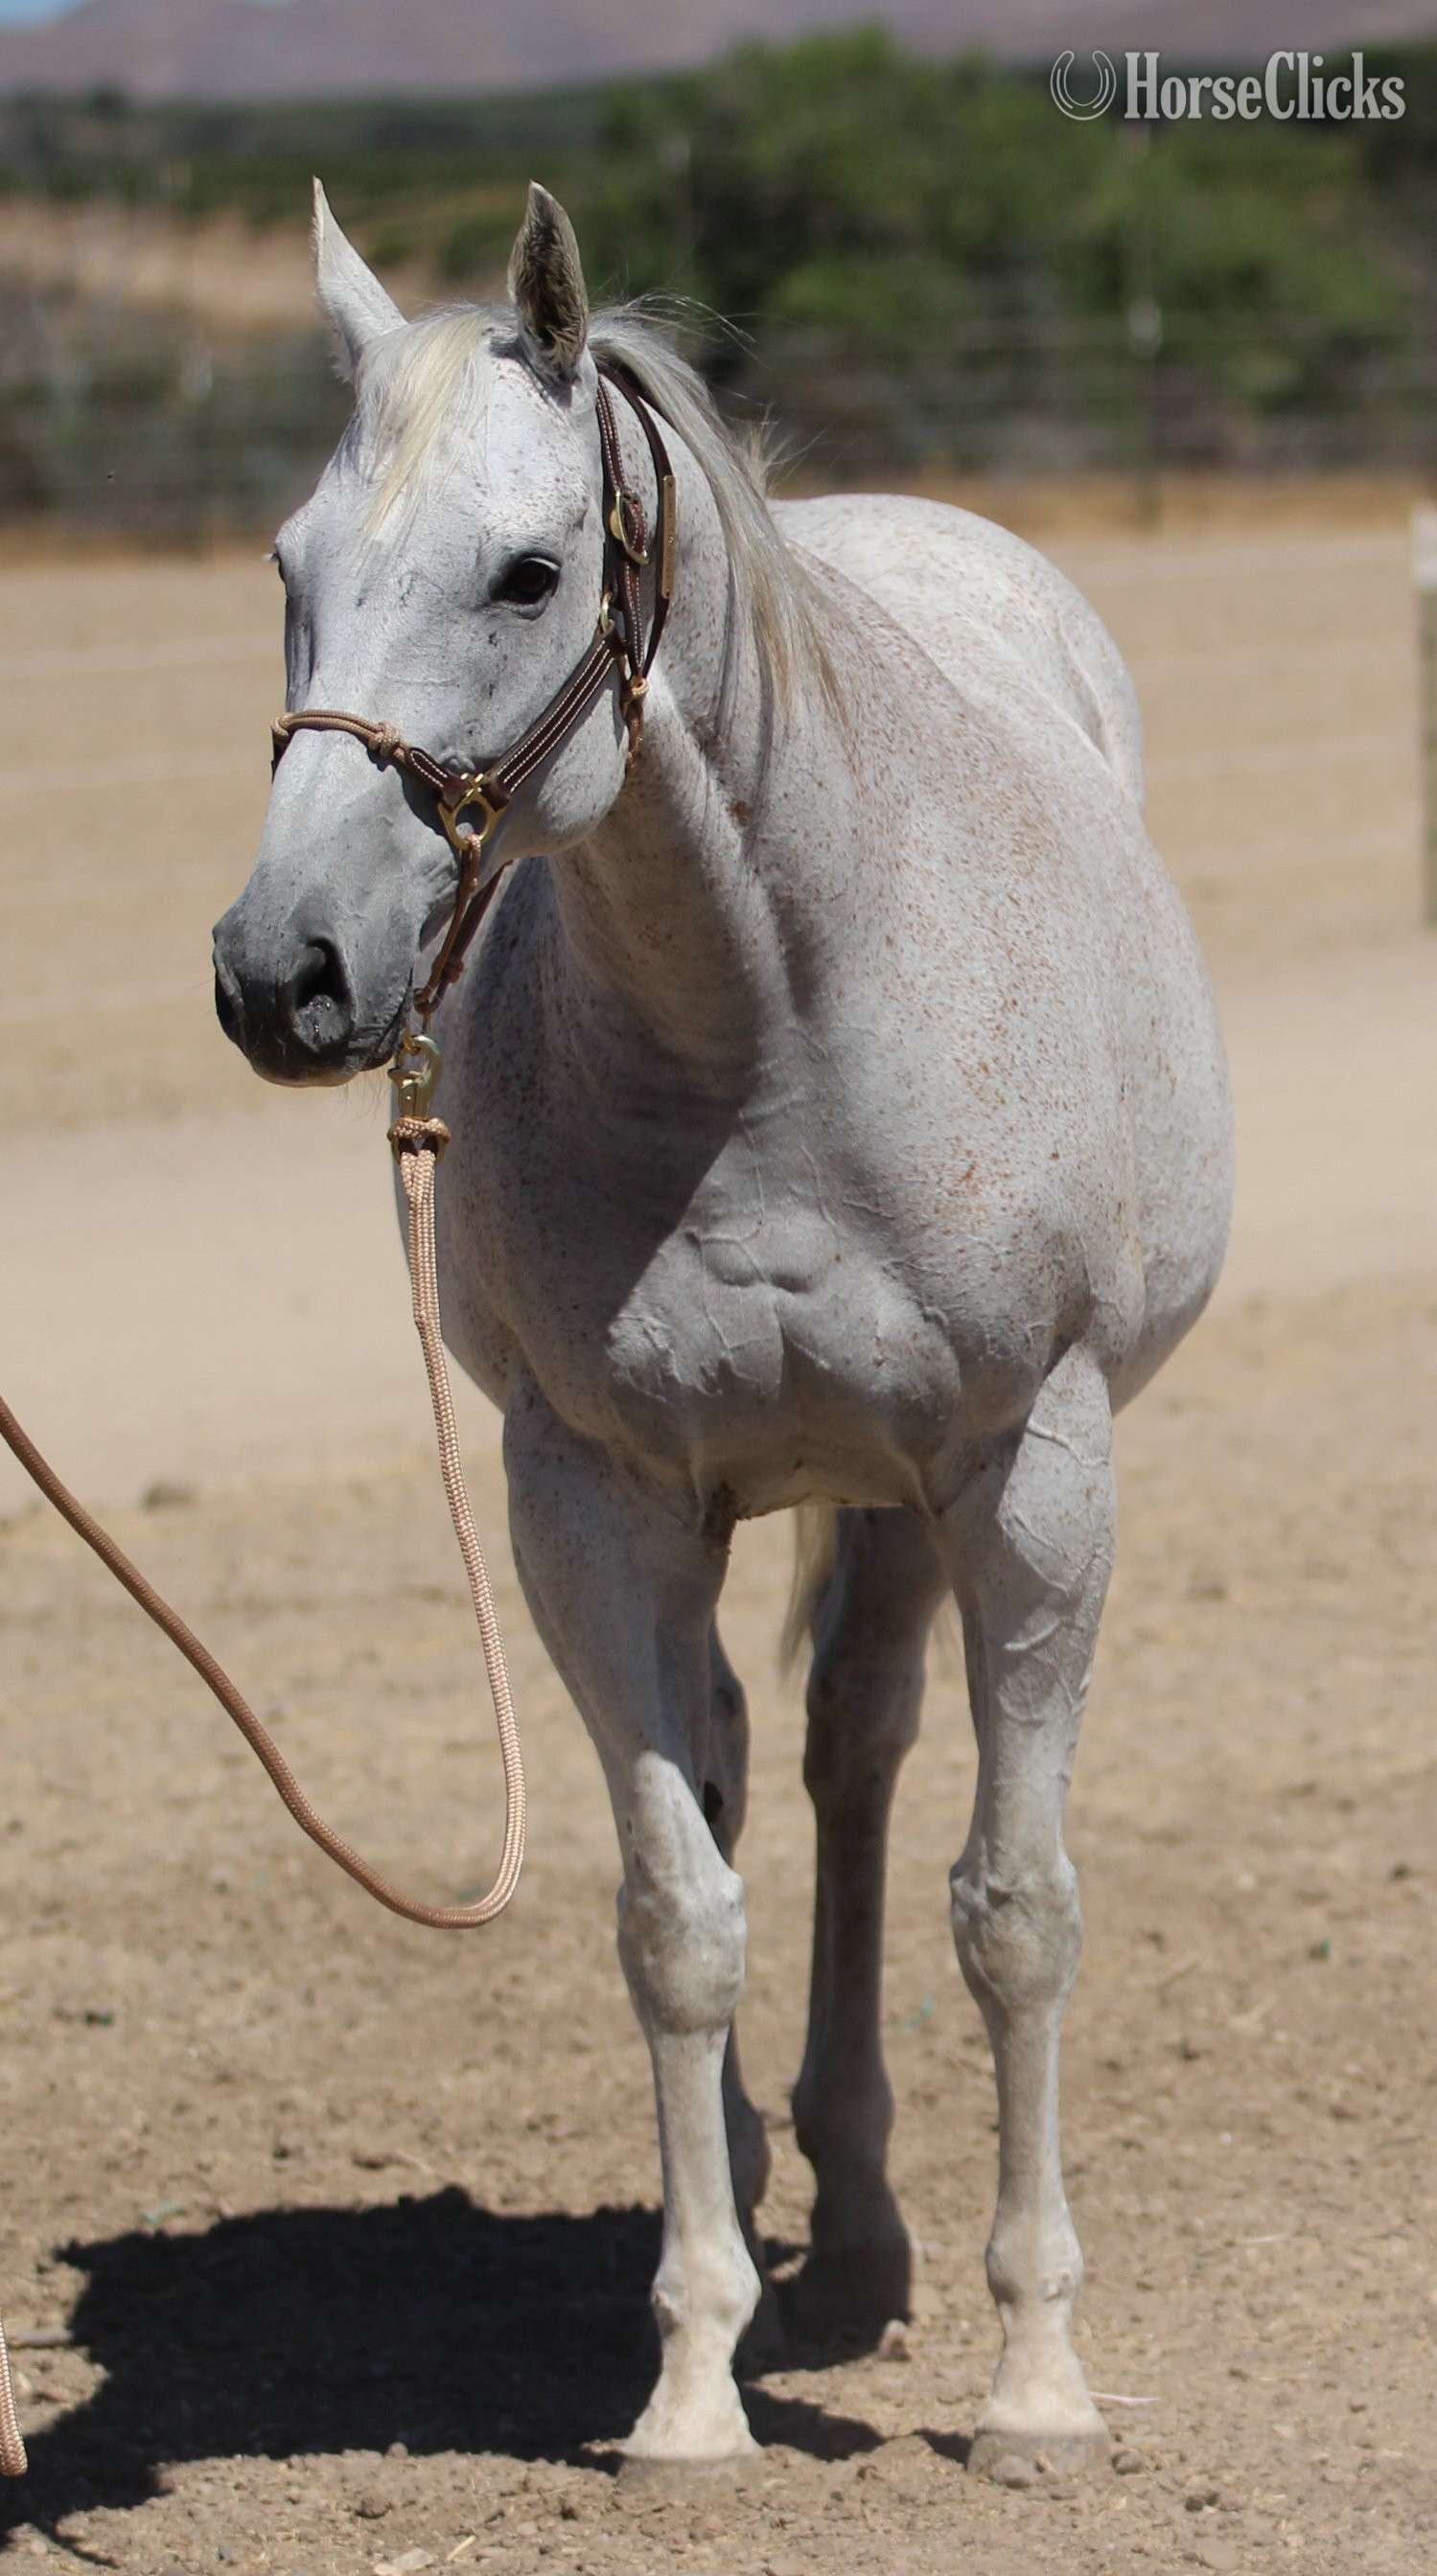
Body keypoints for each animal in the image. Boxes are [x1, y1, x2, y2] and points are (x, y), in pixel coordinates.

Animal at [212, 182, 1232, 2471]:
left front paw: (1035, 2378)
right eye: (289, 571)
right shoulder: (584, 1498)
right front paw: (686, 2382)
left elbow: (1011, 1907)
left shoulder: (1029, 1476)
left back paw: (861, 2228)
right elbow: (674, 1918)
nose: (279, 971)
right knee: (761, 1765)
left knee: (859, 1766)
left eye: (525, 570)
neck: (769, 1024)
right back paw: (779, 2210)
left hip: (906, 1498)